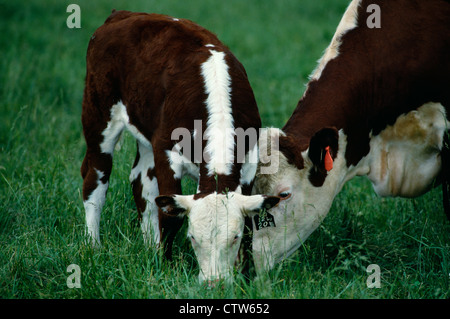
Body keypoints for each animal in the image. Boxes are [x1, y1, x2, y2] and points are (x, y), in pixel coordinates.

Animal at [80, 10, 278, 284]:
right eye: (193, 237)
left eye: (234, 238)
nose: (214, 283)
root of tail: (123, 14)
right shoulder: (166, 152)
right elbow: (169, 215)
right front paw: (165, 265)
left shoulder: (249, 162)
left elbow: (250, 224)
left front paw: (247, 275)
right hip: (98, 115)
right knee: (95, 182)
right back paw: (93, 245)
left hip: (146, 135)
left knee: (141, 182)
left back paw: (149, 245)